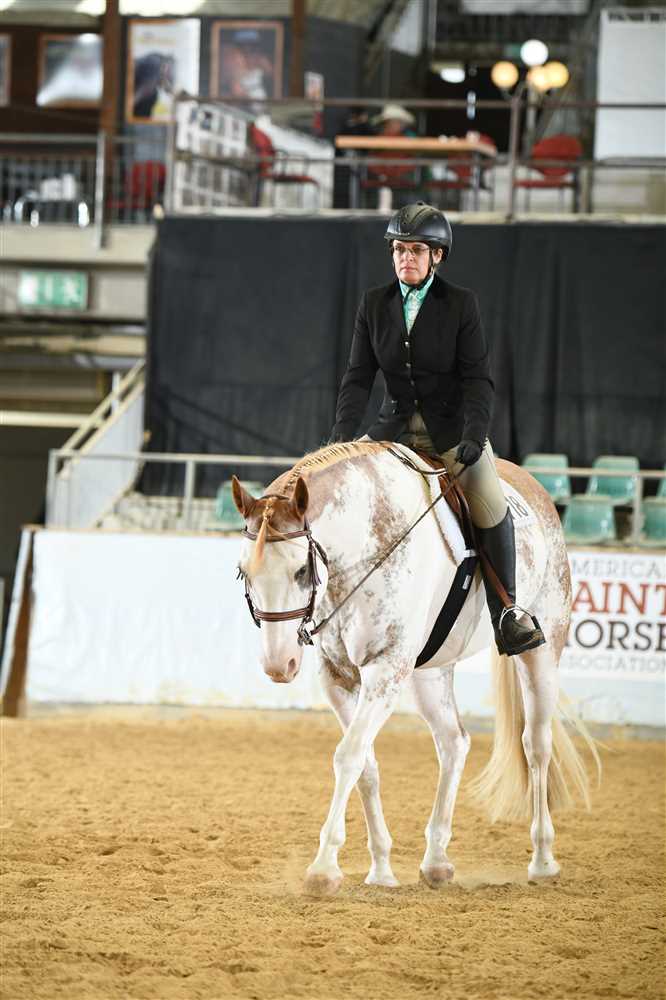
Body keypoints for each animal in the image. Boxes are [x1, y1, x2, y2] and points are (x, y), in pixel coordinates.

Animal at [232, 441, 598, 897]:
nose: (279, 665)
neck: (365, 547)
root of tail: (534, 486)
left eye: (301, 570)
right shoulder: (338, 677)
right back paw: (437, 860)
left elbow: (348, 756)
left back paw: (543, 859)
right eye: (244, 571)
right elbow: (366, 765)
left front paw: (323, 867)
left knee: (536, 744)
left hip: (543, 650)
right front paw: (380, 869)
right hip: (430, 673)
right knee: (454, 743)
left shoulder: (385, 670)